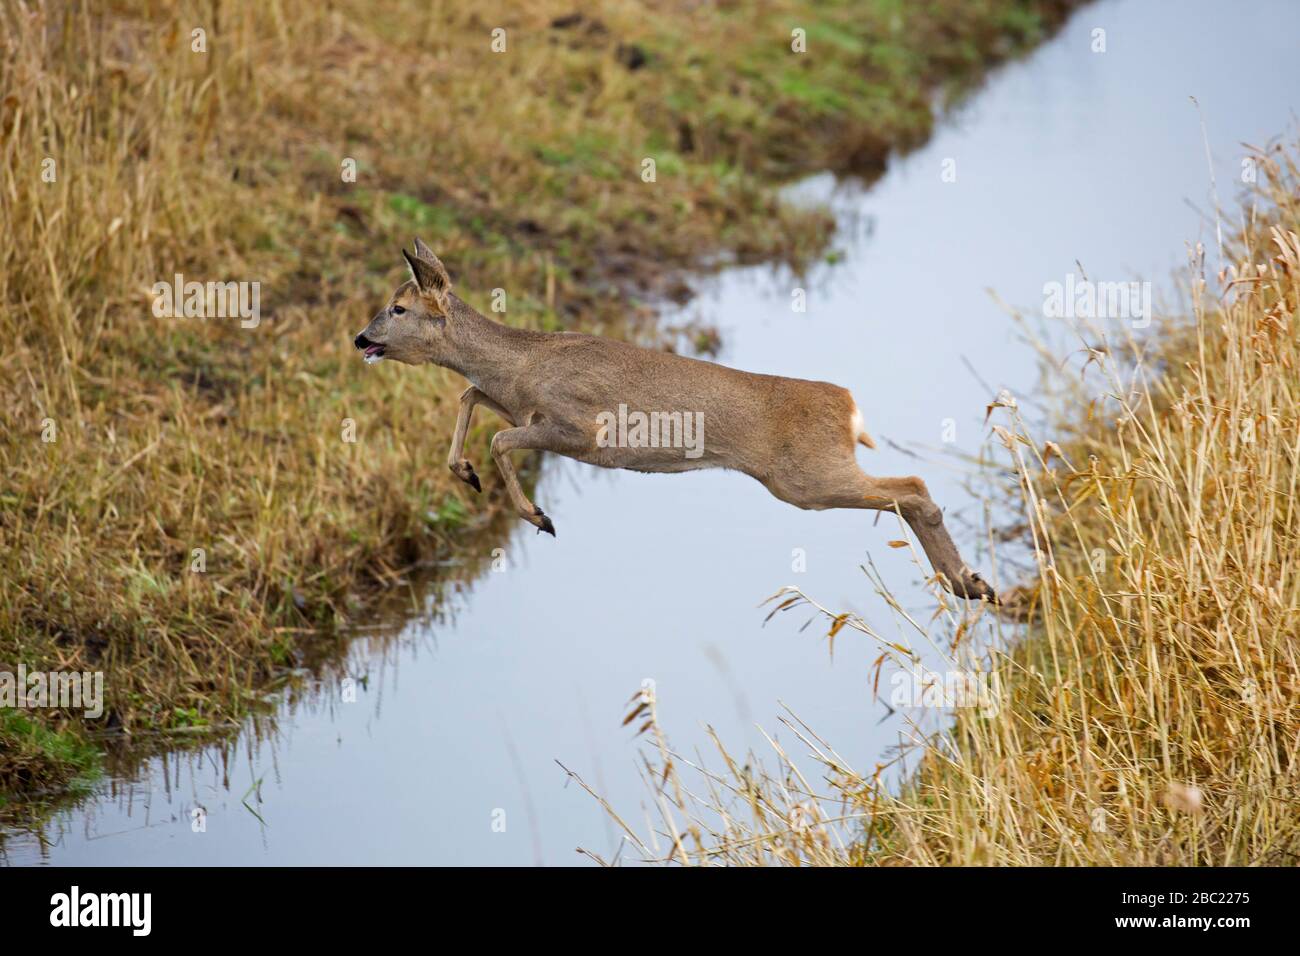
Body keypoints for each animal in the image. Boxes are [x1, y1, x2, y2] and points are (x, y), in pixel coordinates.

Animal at [351, 239, 998, 600]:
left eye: (399, 308)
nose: (360, 338)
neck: (523, 363)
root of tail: (848, 404)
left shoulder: (580, 429)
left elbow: (501, 439)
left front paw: (539, 516)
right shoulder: (511, 400)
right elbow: (470, 399)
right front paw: (463, 473)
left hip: (806, 479)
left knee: (913, 487)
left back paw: (969, 583)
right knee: (910, 491)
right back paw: (970, 585)